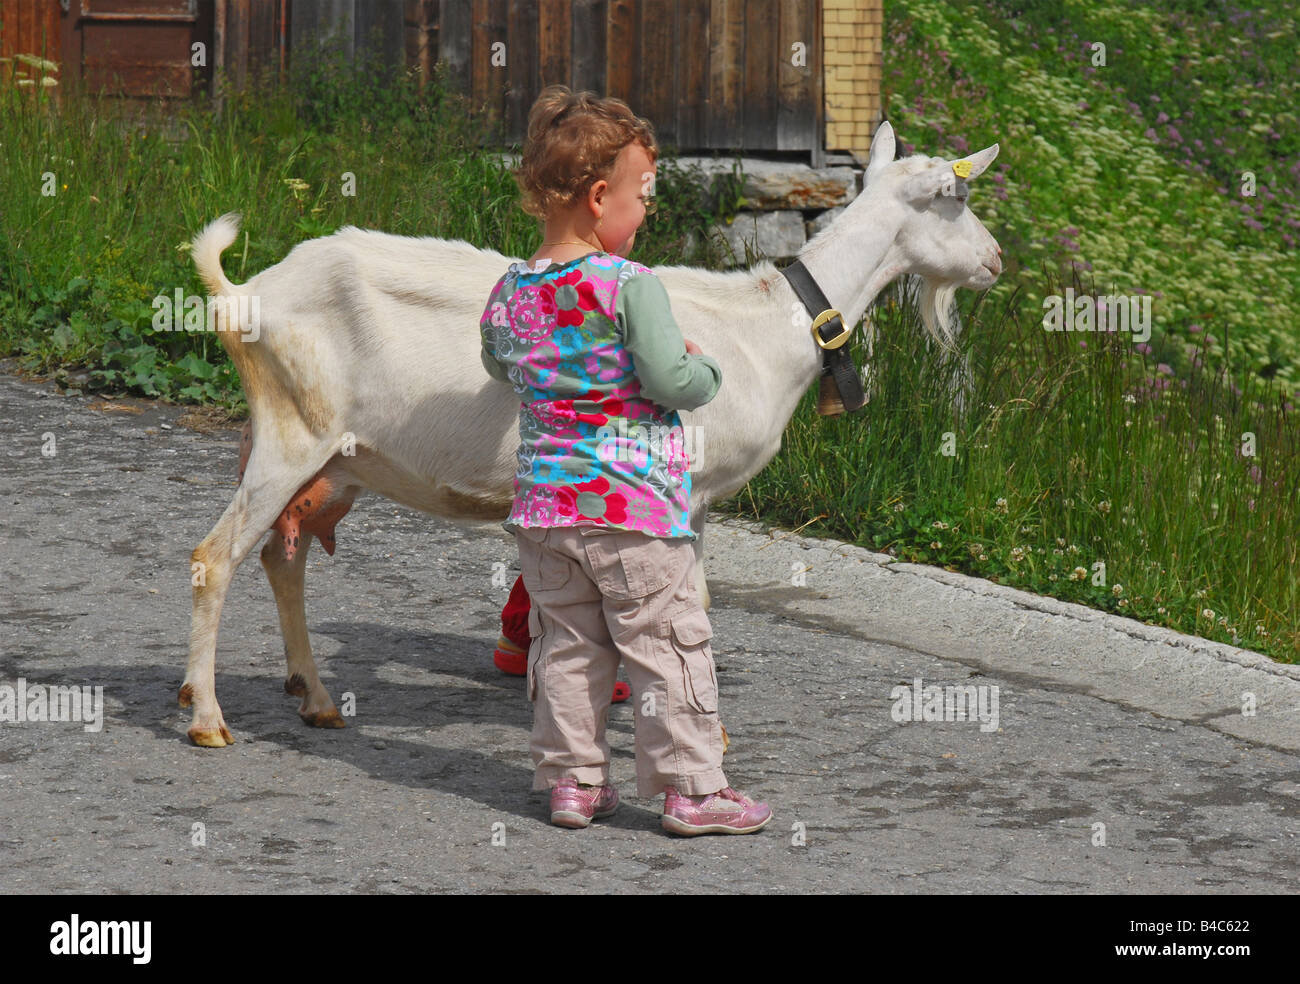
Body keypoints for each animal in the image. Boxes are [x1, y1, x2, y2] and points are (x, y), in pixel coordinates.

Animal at [179, 122, 1002, 746]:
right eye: (957, 198)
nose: (995, 260)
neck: (771, 325)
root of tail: (243, 293)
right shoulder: (688, 488)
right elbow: (692, 604)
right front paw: (699, 725)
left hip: (331, 458)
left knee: (281, 557)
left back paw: (314, 698)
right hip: (293, 431)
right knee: (215, 557)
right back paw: (209, 717)